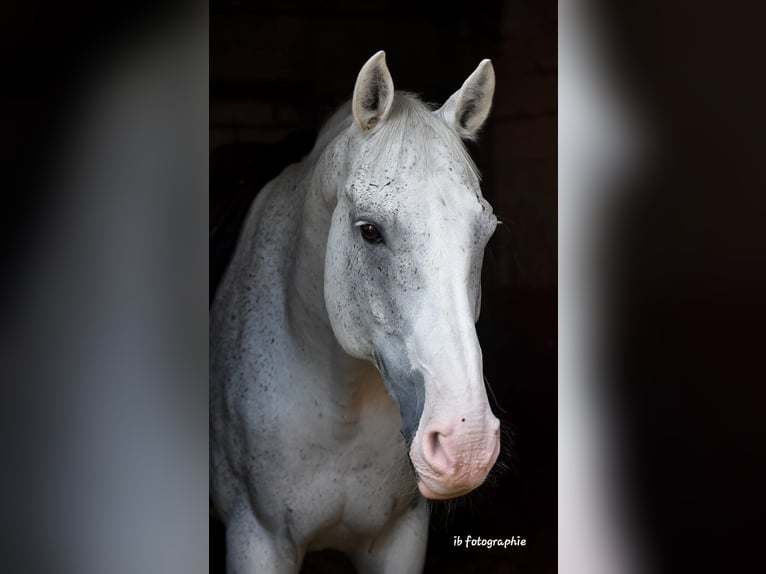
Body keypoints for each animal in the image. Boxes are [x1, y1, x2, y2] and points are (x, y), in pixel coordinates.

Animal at [210, 51, 500, 572]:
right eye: (369, 231)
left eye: (485, 232)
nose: (466, 445)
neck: (341, 408)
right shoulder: (256, 539)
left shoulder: (401, 538)